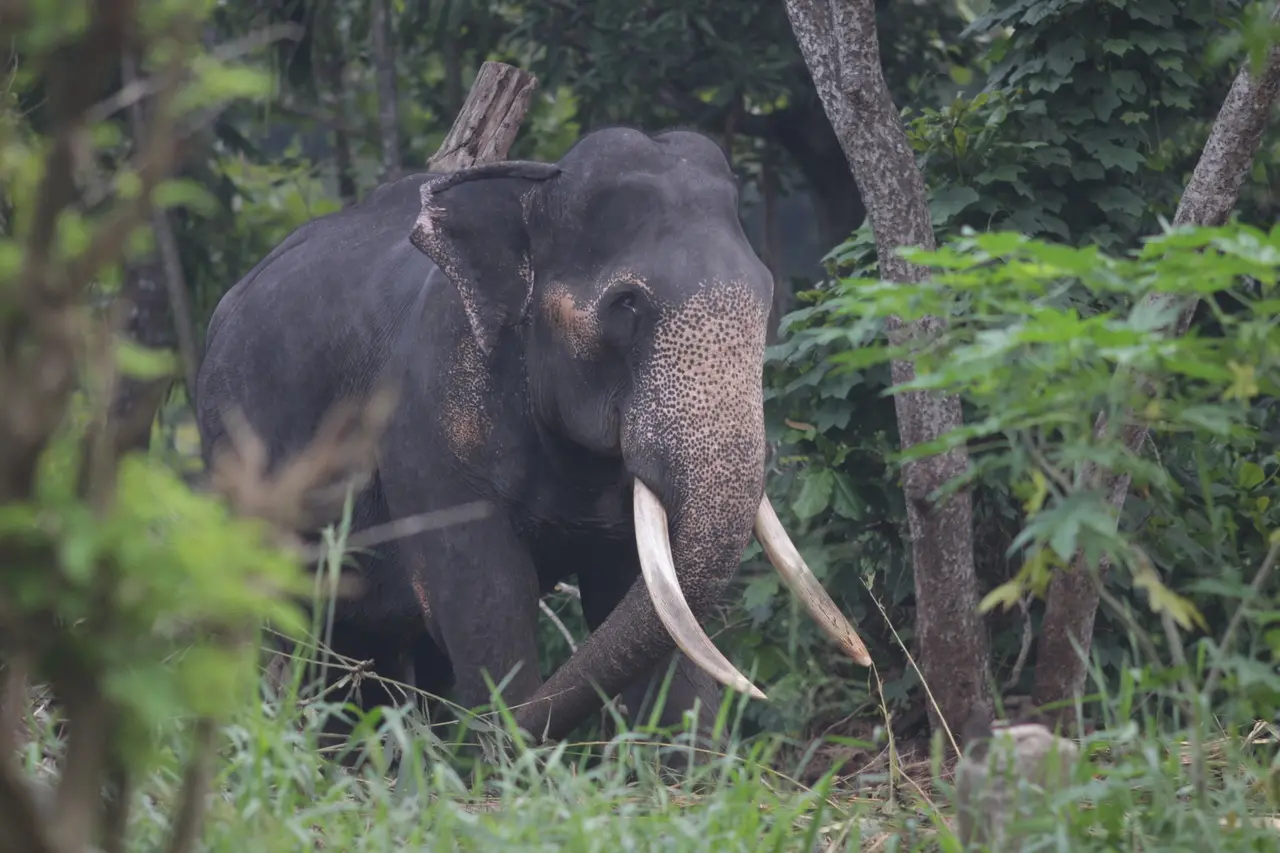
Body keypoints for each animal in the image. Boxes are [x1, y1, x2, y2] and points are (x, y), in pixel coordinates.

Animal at [195, 125, 870, 754]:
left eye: (768, 293)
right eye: (626, 305)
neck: (530, 191)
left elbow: (645, 596)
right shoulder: (424, 419)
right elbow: (483, 598)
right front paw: (507, 763)